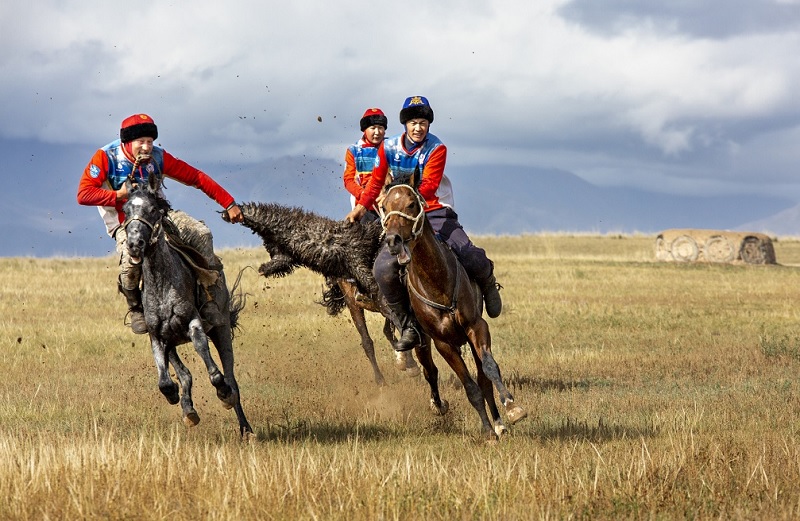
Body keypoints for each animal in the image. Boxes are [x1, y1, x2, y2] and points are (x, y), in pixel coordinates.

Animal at [122, 177, 250, 436]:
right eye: (126, 210)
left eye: (152, 210)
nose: (134, 244)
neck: (162, 284)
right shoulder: (158, 336)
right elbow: (166, 379)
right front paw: (174, 396)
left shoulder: (194, 323)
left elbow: (212, 366)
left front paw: (222, 392)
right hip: (173, 341)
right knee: (185, 375)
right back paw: (188, 410)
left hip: (221, 329)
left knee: (231, 377)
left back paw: (244, 427)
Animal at [228, 201, 418, 384]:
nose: (262, 269)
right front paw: (408, 364)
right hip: (354, 303)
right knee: (369, 341)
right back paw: (384, 378)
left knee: (388, 331)